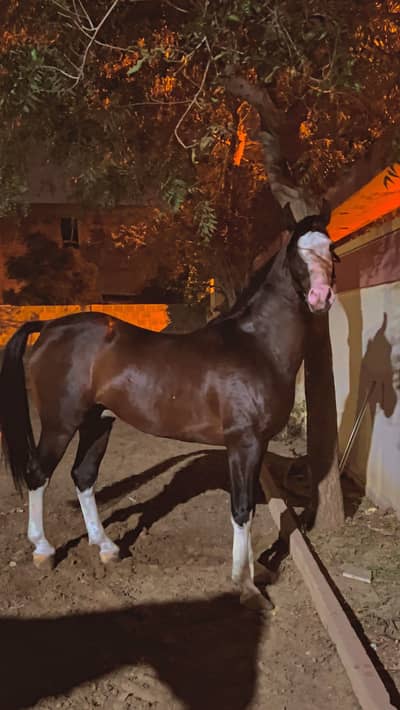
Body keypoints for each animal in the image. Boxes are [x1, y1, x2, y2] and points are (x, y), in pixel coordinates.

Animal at [0, 202, 338, 610]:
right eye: (296, 254)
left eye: (331, 249)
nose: (321, 297)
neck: (258, 346)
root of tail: (49, 326)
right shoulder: (244, 444)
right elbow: (242, 510)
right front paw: (247, 586)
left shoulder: (257, 446)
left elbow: (253, 509)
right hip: (60, 424)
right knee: (39, 475)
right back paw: (43, 550)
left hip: (98, 422)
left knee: (83, 476)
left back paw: (107, 547)